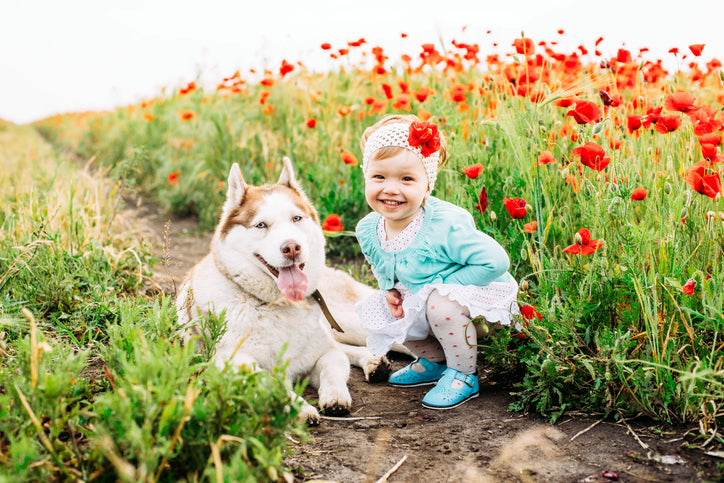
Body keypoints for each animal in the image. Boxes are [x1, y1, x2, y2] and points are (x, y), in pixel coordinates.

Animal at [176, 159, 390, 424]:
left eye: (296, 218)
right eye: (261, 225)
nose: (292, 247)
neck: (277, 306)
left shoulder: (325, 354)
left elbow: (332, 369)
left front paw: (335, 397)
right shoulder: (232, 363)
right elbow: (267, 381)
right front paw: (300, 407)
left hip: (354, 323)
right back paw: (372, 361)